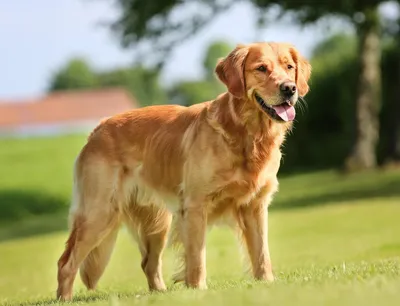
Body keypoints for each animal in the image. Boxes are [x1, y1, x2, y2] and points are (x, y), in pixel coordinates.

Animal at [56, 41, 312, 300]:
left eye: (289, 67)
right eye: (261, 68)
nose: (290, 89)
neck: (246, 133)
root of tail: (97, 129)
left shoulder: (255, 205)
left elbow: (261, 253)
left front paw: (267, 283)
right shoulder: (196, 205)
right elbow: (197, 257)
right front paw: (198, 290)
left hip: (157, 221)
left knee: (148, 263)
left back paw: (160, 294)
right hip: (99, 213)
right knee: (66, 264)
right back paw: (64, 299)